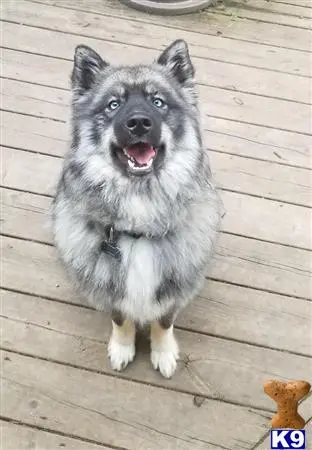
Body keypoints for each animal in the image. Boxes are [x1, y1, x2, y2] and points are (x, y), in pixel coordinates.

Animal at [51, 38, 222, 378]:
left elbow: (164, 323)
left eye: (158, 102)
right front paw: (122, 347)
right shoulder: (111, 289)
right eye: (113, 105)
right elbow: (120, 319)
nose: (139, 123)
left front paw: (164, 352)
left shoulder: (172, 291)